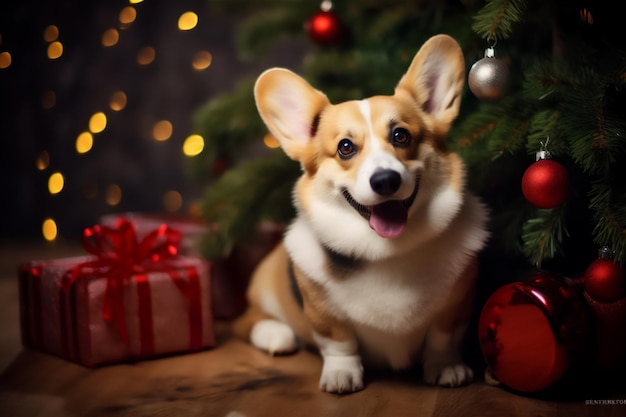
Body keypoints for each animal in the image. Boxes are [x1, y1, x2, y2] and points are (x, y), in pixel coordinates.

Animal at [233, 33, 488, 394]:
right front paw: (342, 375)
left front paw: (446, 368)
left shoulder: (456, 304)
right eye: (345, 147)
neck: (388, 252)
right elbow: (340, 343)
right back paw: (276, 335)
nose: (385, 180)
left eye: (401, 135)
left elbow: (442, 339)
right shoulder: (322, 313)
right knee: (247, 320)